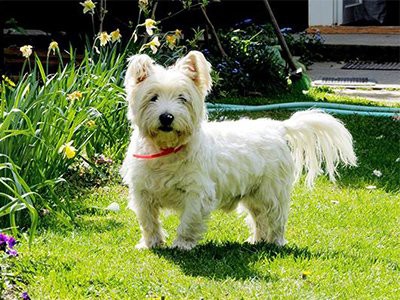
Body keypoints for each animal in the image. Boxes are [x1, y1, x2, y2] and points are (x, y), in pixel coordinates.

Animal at [119, 51, 356, 251]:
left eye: (182, 98)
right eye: (153, 97)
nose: (167, 117)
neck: (166, 151)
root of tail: (279, 127)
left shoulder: (197, 194)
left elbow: (188, 221)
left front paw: (182, 245)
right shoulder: (142, 192)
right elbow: (148, 221)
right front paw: (150, 244)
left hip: (272, 192)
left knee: (276, 218)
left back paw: (275, 243)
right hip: (253, 194)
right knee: (259, 218)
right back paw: (257, 241)